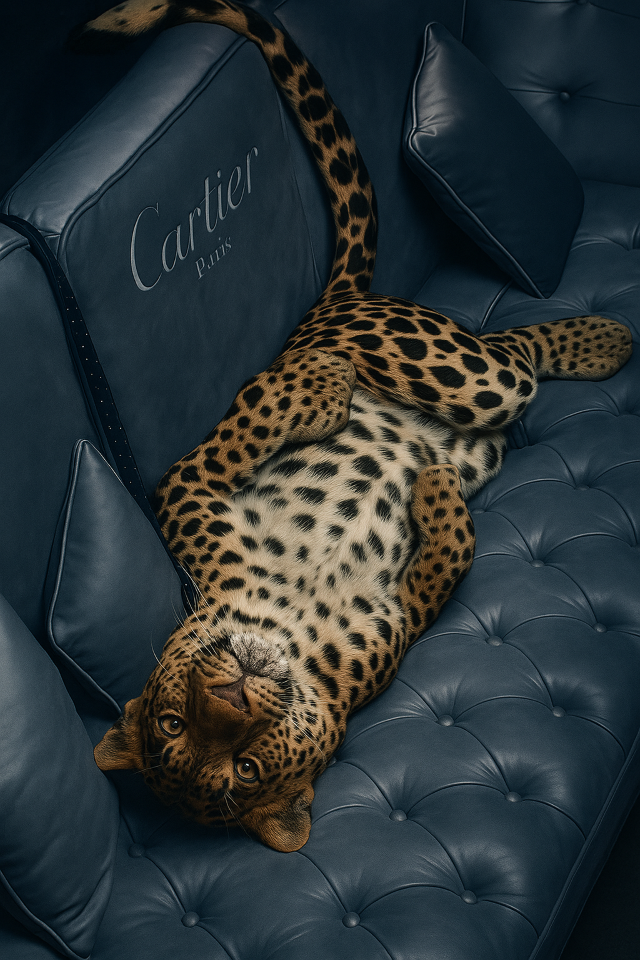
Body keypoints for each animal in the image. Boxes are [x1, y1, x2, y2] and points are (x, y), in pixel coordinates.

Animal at [72, 0, 632, 851]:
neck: (290, 620)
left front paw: (322, 399)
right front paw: (434, 492)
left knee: (509, 353)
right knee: (515, 365)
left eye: (171, 723)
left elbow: (222, 444)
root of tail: (332, 304)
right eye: (230, 768)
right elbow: (455, 555)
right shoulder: (402, 620)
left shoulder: (190, 494)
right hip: (474, 390)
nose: (233, 692)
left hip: (439, 365)